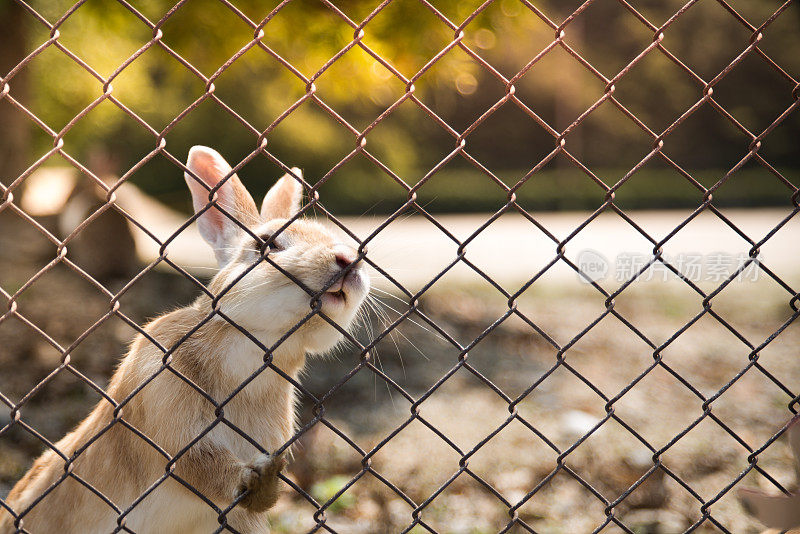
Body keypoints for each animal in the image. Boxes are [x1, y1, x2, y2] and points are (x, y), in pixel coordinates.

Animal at [0, 147, 368, 534]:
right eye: (267, 245)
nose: (349, 260)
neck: (254, 350)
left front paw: (267, 482)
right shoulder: (176, 433)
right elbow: (205, 468)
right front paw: (262, 482)